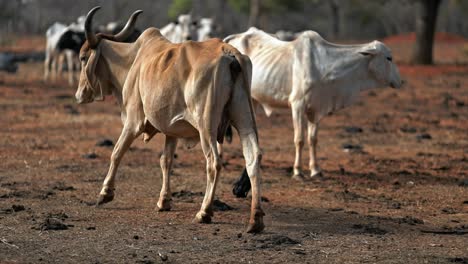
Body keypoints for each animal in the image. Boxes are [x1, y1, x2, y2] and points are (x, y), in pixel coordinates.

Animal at [224, 27, 402, 196]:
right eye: (389, 58)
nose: (400, 81)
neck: (324, 65)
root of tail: (235, 37)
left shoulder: (315, 109)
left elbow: (313, 139)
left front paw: (315, 170)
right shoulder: (297, 105)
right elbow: (299, 139)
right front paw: (297, 171)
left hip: (252, 100)